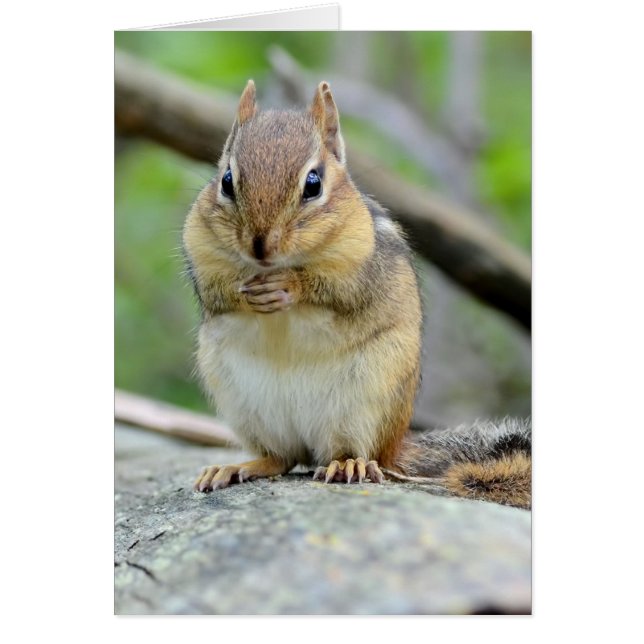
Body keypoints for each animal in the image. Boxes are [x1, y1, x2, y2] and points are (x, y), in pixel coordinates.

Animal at [182, 80, 531, 510]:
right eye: (227, 181)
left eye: (313, 184)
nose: (260, 247)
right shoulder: (200, 253)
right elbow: (217, 290)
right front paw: (247, 292)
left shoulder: (361, 267)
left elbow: (339, 292)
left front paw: (289, 286)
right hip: (243, 405)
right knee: (281, 458)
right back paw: (235, 467)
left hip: (367, 404)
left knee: (352, 454)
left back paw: (348, 465)